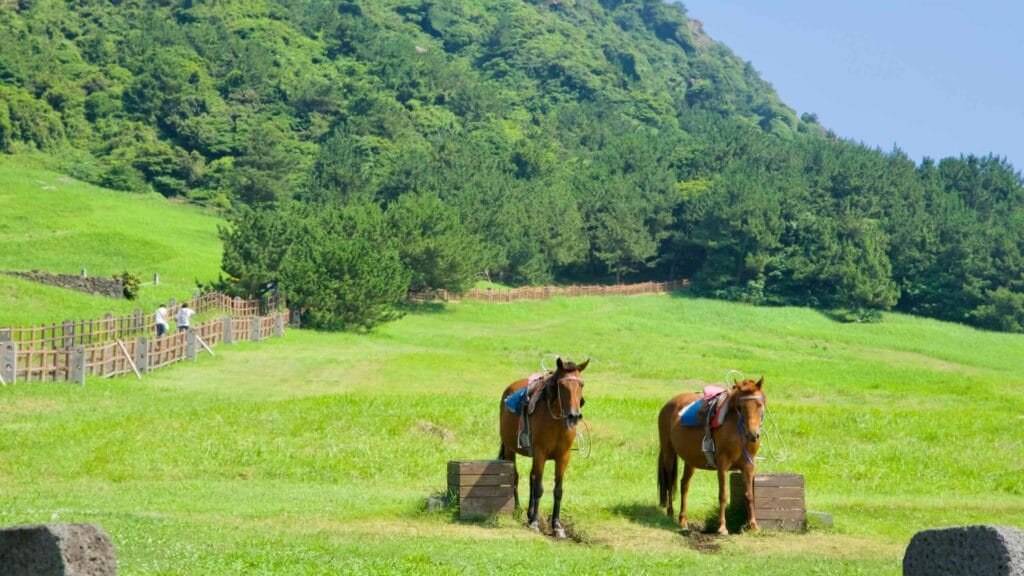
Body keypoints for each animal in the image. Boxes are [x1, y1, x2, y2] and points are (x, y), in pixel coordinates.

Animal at [498, 357, 589, 539]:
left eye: (581, 384)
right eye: (562, 385)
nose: (574, 416)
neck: (555, 423)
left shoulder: (563, 457)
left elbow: (557, 490)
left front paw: (557, 526)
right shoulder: (540, 454)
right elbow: (539, 488)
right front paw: (534, 523)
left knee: (531, 477)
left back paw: (529, 512)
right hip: (510, 449)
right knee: (516, 477)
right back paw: (518, 510)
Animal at [657, 377, 765, 535]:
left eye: (759, 404)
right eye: (740, 407)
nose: (753, 435)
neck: (737, 431)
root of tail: (668, 405)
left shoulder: (749, 466)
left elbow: (749, 495)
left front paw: (753, 526)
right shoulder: (722, 465)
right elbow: (723, 495)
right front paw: (722, 527)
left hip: (690, 460)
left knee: (684, 484)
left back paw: (682, 520)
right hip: (668, 452)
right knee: (670, 482)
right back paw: (670, 513)